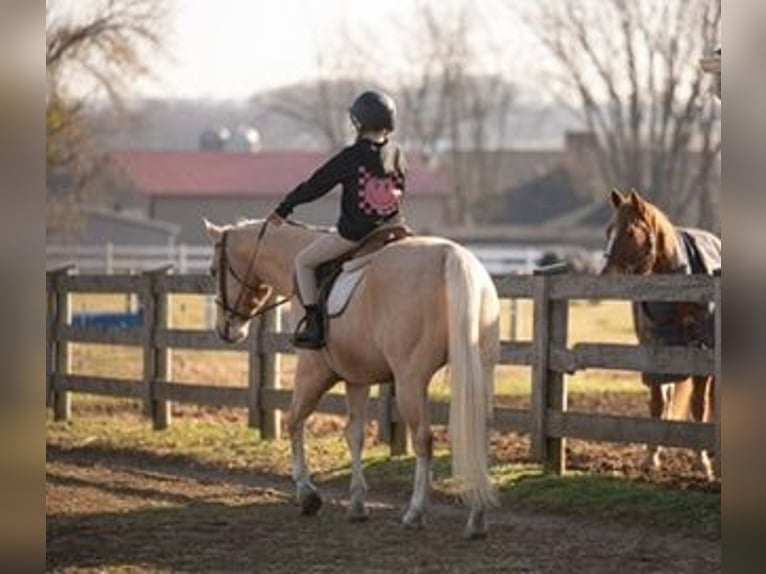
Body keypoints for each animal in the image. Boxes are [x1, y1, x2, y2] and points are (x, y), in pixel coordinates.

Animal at [203, 218, 500, 539]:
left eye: (213, 271)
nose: (226, 330)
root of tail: (450, 255)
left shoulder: (313, 372)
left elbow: (294, 420)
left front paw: (307, 495)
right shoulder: (357, 378)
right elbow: (354, 434)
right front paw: (357, 504)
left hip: (410, 380)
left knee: (424, 439)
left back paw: (415, 512)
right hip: (480, 371)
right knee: (478, 432)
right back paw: (477, 518)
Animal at [602, 189, 719, 480]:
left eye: (630, 231)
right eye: (608, 230)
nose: (606, 275)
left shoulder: (702, 349)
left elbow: (698, 405)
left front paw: (702, 461)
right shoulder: (654, 347)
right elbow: (657, 403)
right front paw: (651, 457)